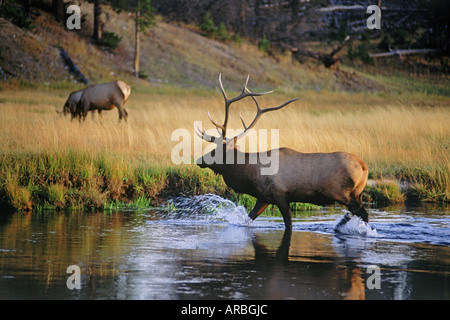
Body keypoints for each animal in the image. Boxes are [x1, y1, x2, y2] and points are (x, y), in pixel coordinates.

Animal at [196, 74, 370, 231]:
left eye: (214, 151)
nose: (199, 160)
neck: (251, 172)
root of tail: (364, 166)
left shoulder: (280, 194)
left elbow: (289, 224)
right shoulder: (264, 198)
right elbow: (248, 219)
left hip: (342, 193)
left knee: (363, 213)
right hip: (357, 193)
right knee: (356, 213)